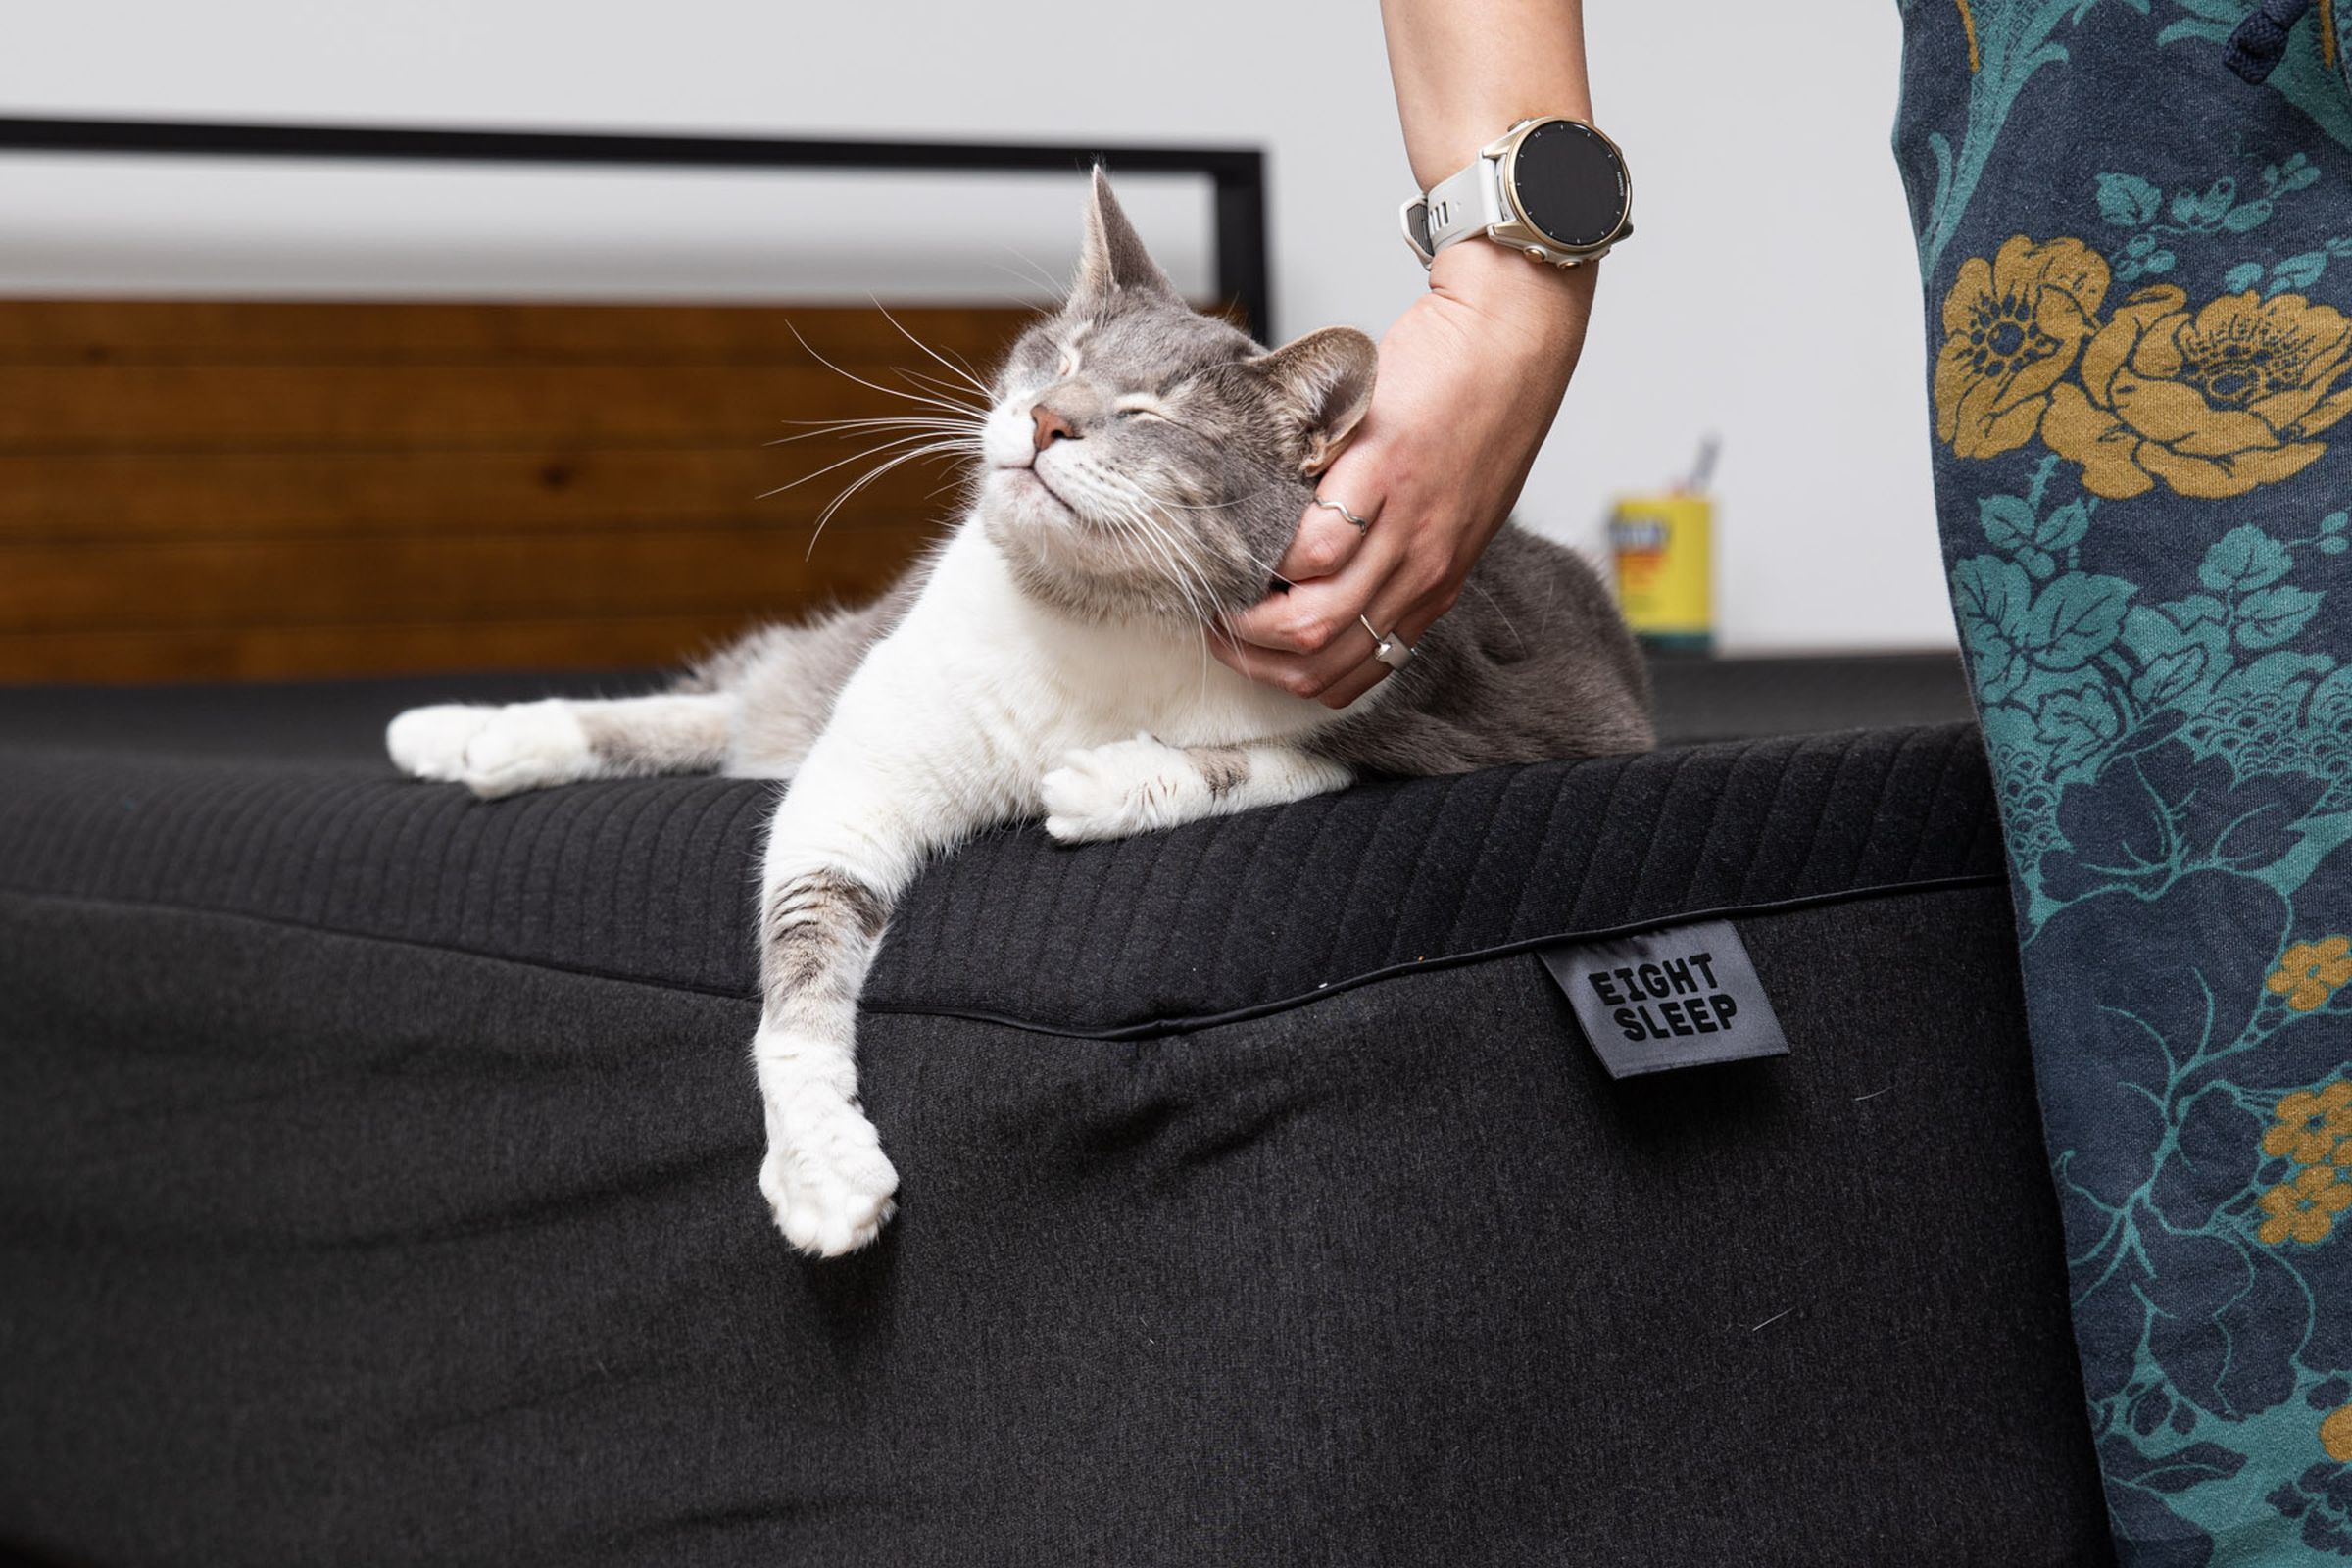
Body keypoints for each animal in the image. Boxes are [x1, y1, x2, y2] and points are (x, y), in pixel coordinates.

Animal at [385, 172, 1655, 1259]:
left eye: (1151, 412)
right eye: (1063, 354)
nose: (1049, 419)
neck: (1089, 620)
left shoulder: (1477, 712)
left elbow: (1274, 758)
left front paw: (1114, 779)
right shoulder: (864, 769)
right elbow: (801, 958)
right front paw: (821, 1166)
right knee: (741, 707)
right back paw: (469, 732)